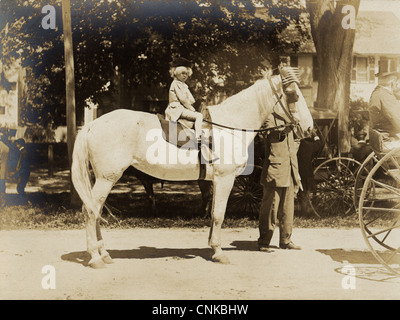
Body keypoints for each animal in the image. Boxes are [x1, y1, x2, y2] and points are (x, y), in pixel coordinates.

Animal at [71, 74, 312, 268]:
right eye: (294, 95)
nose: (309, 128)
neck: (230, 127)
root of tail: (92, 125)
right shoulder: (225, 179)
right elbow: (218, 214)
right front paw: (219, 253)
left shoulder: (214, 182)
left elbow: (213, 213)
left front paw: (213, 248)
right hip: (106, 178)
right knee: (91, 211)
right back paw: (95, 257)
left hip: (105, 179)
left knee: (96, 211)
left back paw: (104, 253)